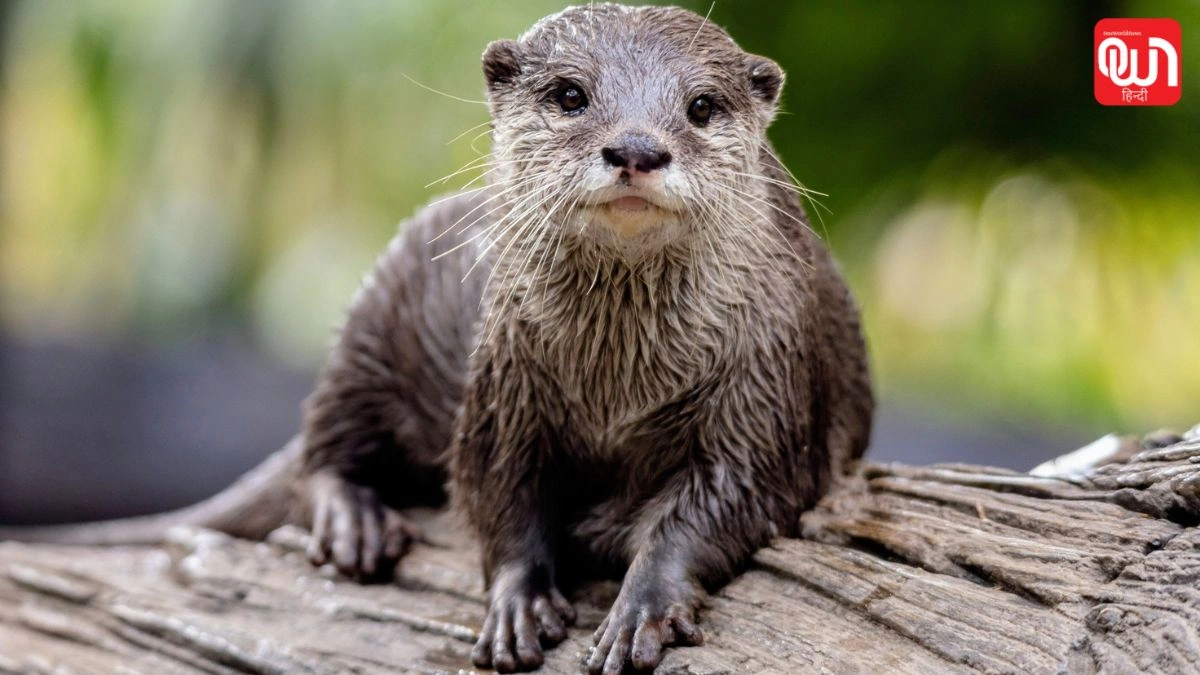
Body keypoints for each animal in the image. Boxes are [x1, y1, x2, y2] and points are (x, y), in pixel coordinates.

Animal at [1, 5, 873, 673]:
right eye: (570, 94)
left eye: (700, 106)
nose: (635, 149)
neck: (618, 384)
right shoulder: (504, 388)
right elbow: (497, 491)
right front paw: (517, 601)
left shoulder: (767, 383)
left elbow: (728, 499)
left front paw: (641, 606)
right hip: (374, 316)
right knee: (324, 444)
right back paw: (353, 519)